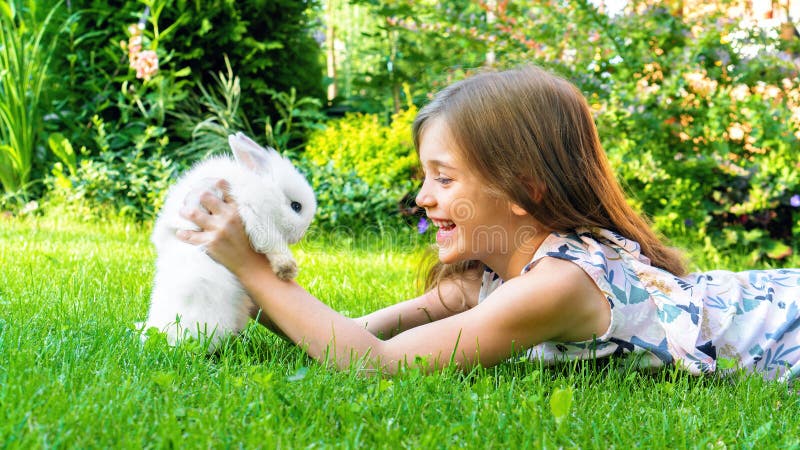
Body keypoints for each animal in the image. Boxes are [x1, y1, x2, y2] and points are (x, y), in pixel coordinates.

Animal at [141, 132, 316, 350]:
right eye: (296, 206)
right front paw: (287, 269)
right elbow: (271, 243)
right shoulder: (255, 213)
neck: (261, 186)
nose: (300, 235)